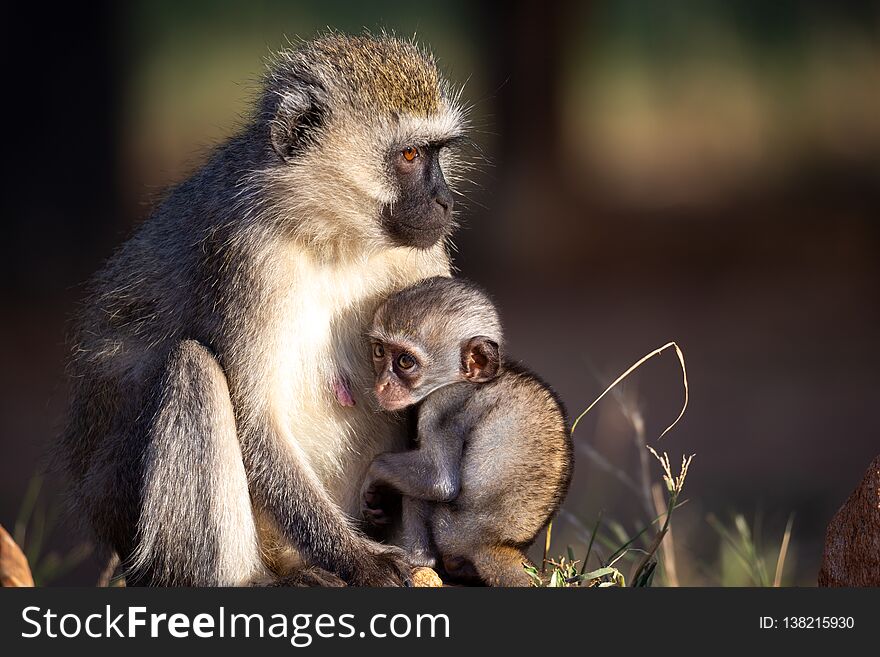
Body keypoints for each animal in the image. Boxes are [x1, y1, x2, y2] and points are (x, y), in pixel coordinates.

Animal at [60, 33, 468, 584]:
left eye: (438, 154)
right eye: (409, 155)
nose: (445, 201)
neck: (330, 236)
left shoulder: (424, 255)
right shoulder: (246, 255)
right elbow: (255, 418)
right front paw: (362, 560)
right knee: (194, 369)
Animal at [360, 276, 576, 584]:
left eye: (405, 361)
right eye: (379, 351)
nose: (382, 384)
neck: (464, 381)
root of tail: (492, 544)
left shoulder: (441, 406)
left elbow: (440, 480)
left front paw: (374, 477)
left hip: (450, 530)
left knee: (419, 494)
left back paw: (418, 560)